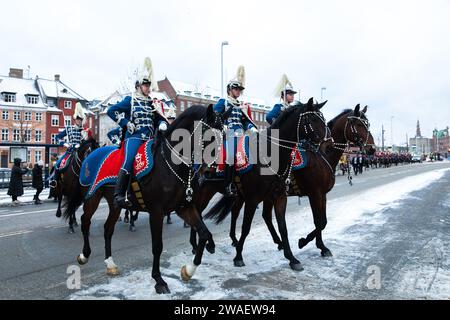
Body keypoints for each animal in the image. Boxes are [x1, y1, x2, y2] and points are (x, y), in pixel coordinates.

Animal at [63, 104, 227, 294]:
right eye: (208, 135)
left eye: (223, 136)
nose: (210, 172)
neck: (171, 164)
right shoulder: (156, 211)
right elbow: (157, 246)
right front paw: (159, 280)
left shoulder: (183, 207)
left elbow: (204, 233)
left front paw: (189, 270)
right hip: (92, 197)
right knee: (85, 221)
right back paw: (84, 254)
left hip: (114, 204)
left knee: (107, 228)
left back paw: (110, 263)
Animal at [196, 97, 326, 270]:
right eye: (312, 119)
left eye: (323, 119)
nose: (327, 140)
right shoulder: (253, 199)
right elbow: (246, 228)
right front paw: (238, 256)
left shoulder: (278, 197)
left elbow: (283, 227)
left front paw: (292, 258)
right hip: (204, 191)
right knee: (197, 212)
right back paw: (200, 245)